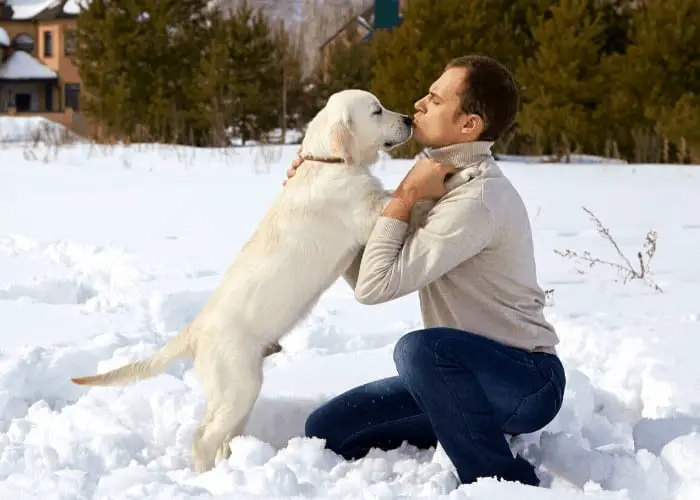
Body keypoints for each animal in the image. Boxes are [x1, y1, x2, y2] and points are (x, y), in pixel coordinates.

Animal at [72, 90, 410, 472]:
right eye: (377, 111)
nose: (410, 119)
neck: (329, 162)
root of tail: (196, 330)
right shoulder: (368, 211)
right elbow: (401, 194)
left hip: (237, 394)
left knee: (223, 437)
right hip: (239, 387)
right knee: (203, 438)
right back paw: (206, 476)